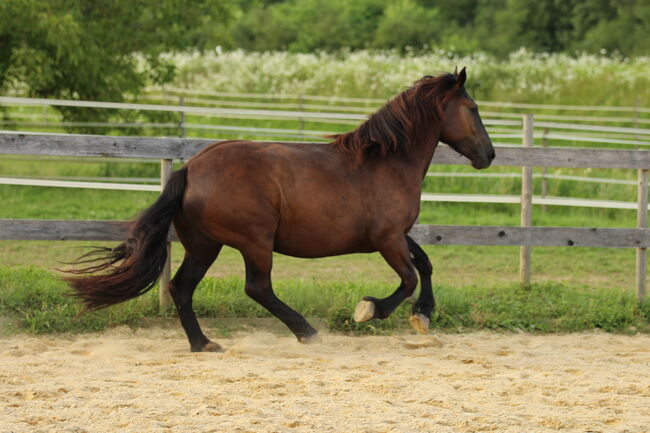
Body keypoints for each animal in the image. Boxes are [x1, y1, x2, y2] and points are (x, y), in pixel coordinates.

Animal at [66, 67, 492, 352]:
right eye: (472, 108)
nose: (488, 155)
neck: (386, 162)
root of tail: (191, 168)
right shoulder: (387, 238)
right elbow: (408, 279)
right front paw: (369, 310)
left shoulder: (396, 235)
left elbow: (425, 265)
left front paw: (423, 315)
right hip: (255, 241)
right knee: (257, 287)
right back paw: (305, 331)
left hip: (204, 245)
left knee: (181, 287)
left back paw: (204, 344)